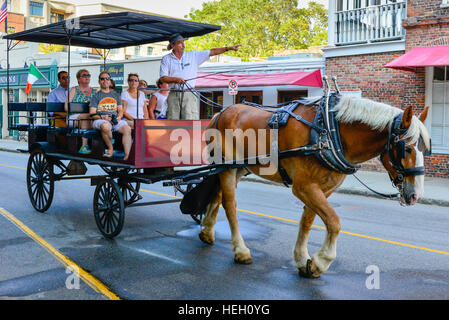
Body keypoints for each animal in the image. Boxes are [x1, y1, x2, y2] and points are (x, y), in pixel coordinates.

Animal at [199, 95, 430, 278]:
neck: (329, 132)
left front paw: (303, 260)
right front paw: (321, 261)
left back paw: (207, 232)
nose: (416, 195)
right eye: (407, 148)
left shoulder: (322, 188)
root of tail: (220, 113)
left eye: (425, 149)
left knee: (218, 195)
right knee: (230, 204)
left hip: (237, 168)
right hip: (227, 167)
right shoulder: (304, 186)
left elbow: (308, 221)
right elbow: (334, 221)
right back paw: (241, 250)